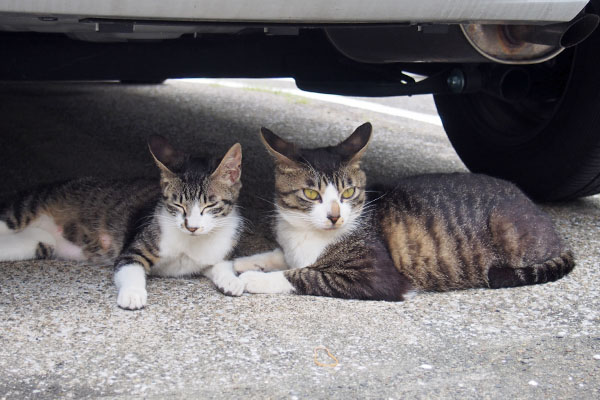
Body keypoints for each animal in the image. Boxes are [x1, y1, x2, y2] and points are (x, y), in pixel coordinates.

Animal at [0, 135, 245, 310]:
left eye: (210, 205)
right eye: (177, 205)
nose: (191, 226)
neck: (191, 242)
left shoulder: (216, 252)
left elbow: (221, 265)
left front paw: (231, 280)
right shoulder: (134, 248)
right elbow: (129, 267)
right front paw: (133, 294)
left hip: (37, 242)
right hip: (26, 208)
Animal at [232, 122, 576, 300]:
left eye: (348, 192)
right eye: (311, 193)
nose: (334, 216)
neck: (305, 234)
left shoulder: (376, 277)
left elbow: (304, 274)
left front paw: (254, 279)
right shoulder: (291, 246)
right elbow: (280, 256)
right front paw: (243, 262)